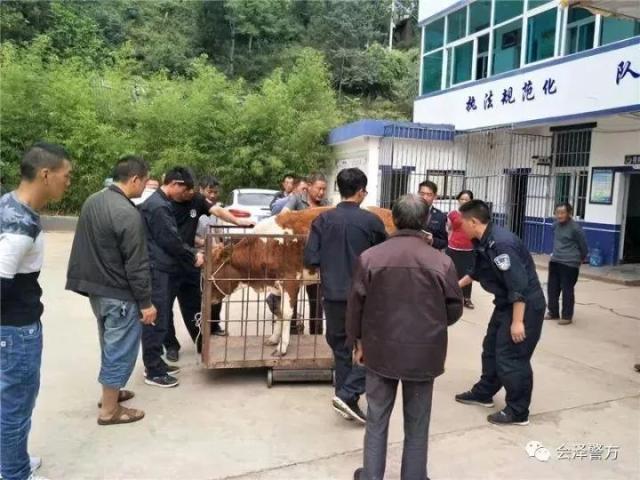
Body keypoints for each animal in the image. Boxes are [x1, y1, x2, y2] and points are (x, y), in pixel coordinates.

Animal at [210, 206, 392, 356]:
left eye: (212, 271)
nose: (210, 299)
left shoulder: (290, 280)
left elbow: (286, 312)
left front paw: (282, 347)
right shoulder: (277, 283)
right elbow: (277, 311)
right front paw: (274, 338)